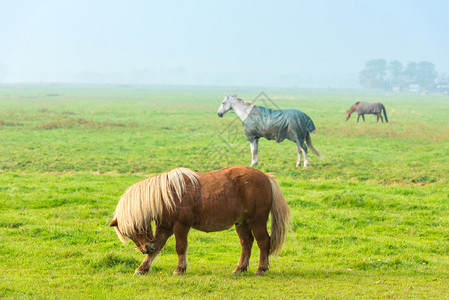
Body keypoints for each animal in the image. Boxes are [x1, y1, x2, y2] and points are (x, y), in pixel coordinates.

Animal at [109, 165, 290, 276]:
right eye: (128, 233)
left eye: (136, 228)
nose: (145, 248)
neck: (167, 196)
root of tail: (265, 177)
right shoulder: (164, 227)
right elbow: (158, 247)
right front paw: (142, 268)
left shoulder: (181, 226)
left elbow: (180, 247)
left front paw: (180, 269)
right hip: (242, 223)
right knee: (246, 243)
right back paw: (240, 268)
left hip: (256, 221)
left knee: (263, 242)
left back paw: (261, 269)